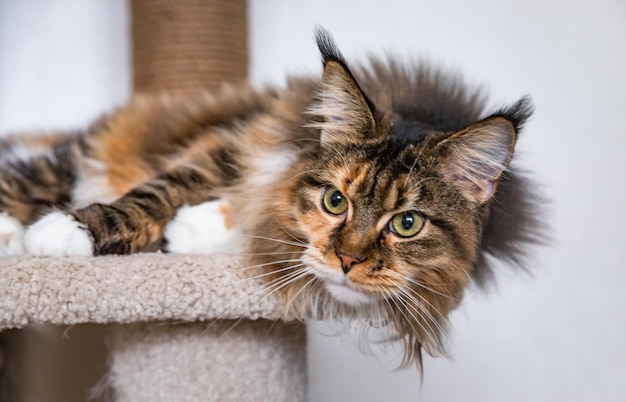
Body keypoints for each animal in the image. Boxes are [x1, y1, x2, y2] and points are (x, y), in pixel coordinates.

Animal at [0, 28, 540, 368]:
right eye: (335, 201)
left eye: (407, 224)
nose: (347, 261)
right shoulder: (229, 148)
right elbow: (158, 193)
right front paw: (72, 229)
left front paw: (192, 232)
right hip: (79, 158)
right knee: (29, 177)